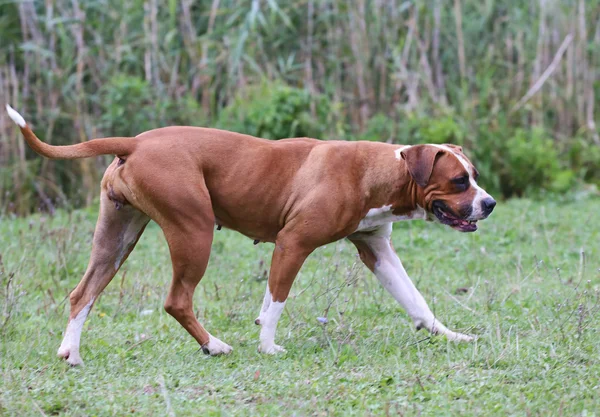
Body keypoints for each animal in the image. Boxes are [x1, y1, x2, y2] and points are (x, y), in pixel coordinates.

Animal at [7, 105, 494, 364]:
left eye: (474, 175)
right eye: (458, 181)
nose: (488, 203)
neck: (375, 172)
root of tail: (136, 142)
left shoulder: (378, 251)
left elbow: (417, 301)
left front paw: (451, 336)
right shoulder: (293, 244)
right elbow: (276, 301)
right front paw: (268, 345)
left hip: (116, 240)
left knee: (82, 292)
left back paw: (70, 352)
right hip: (194, 232)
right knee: (177, 300)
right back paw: (215, 346)